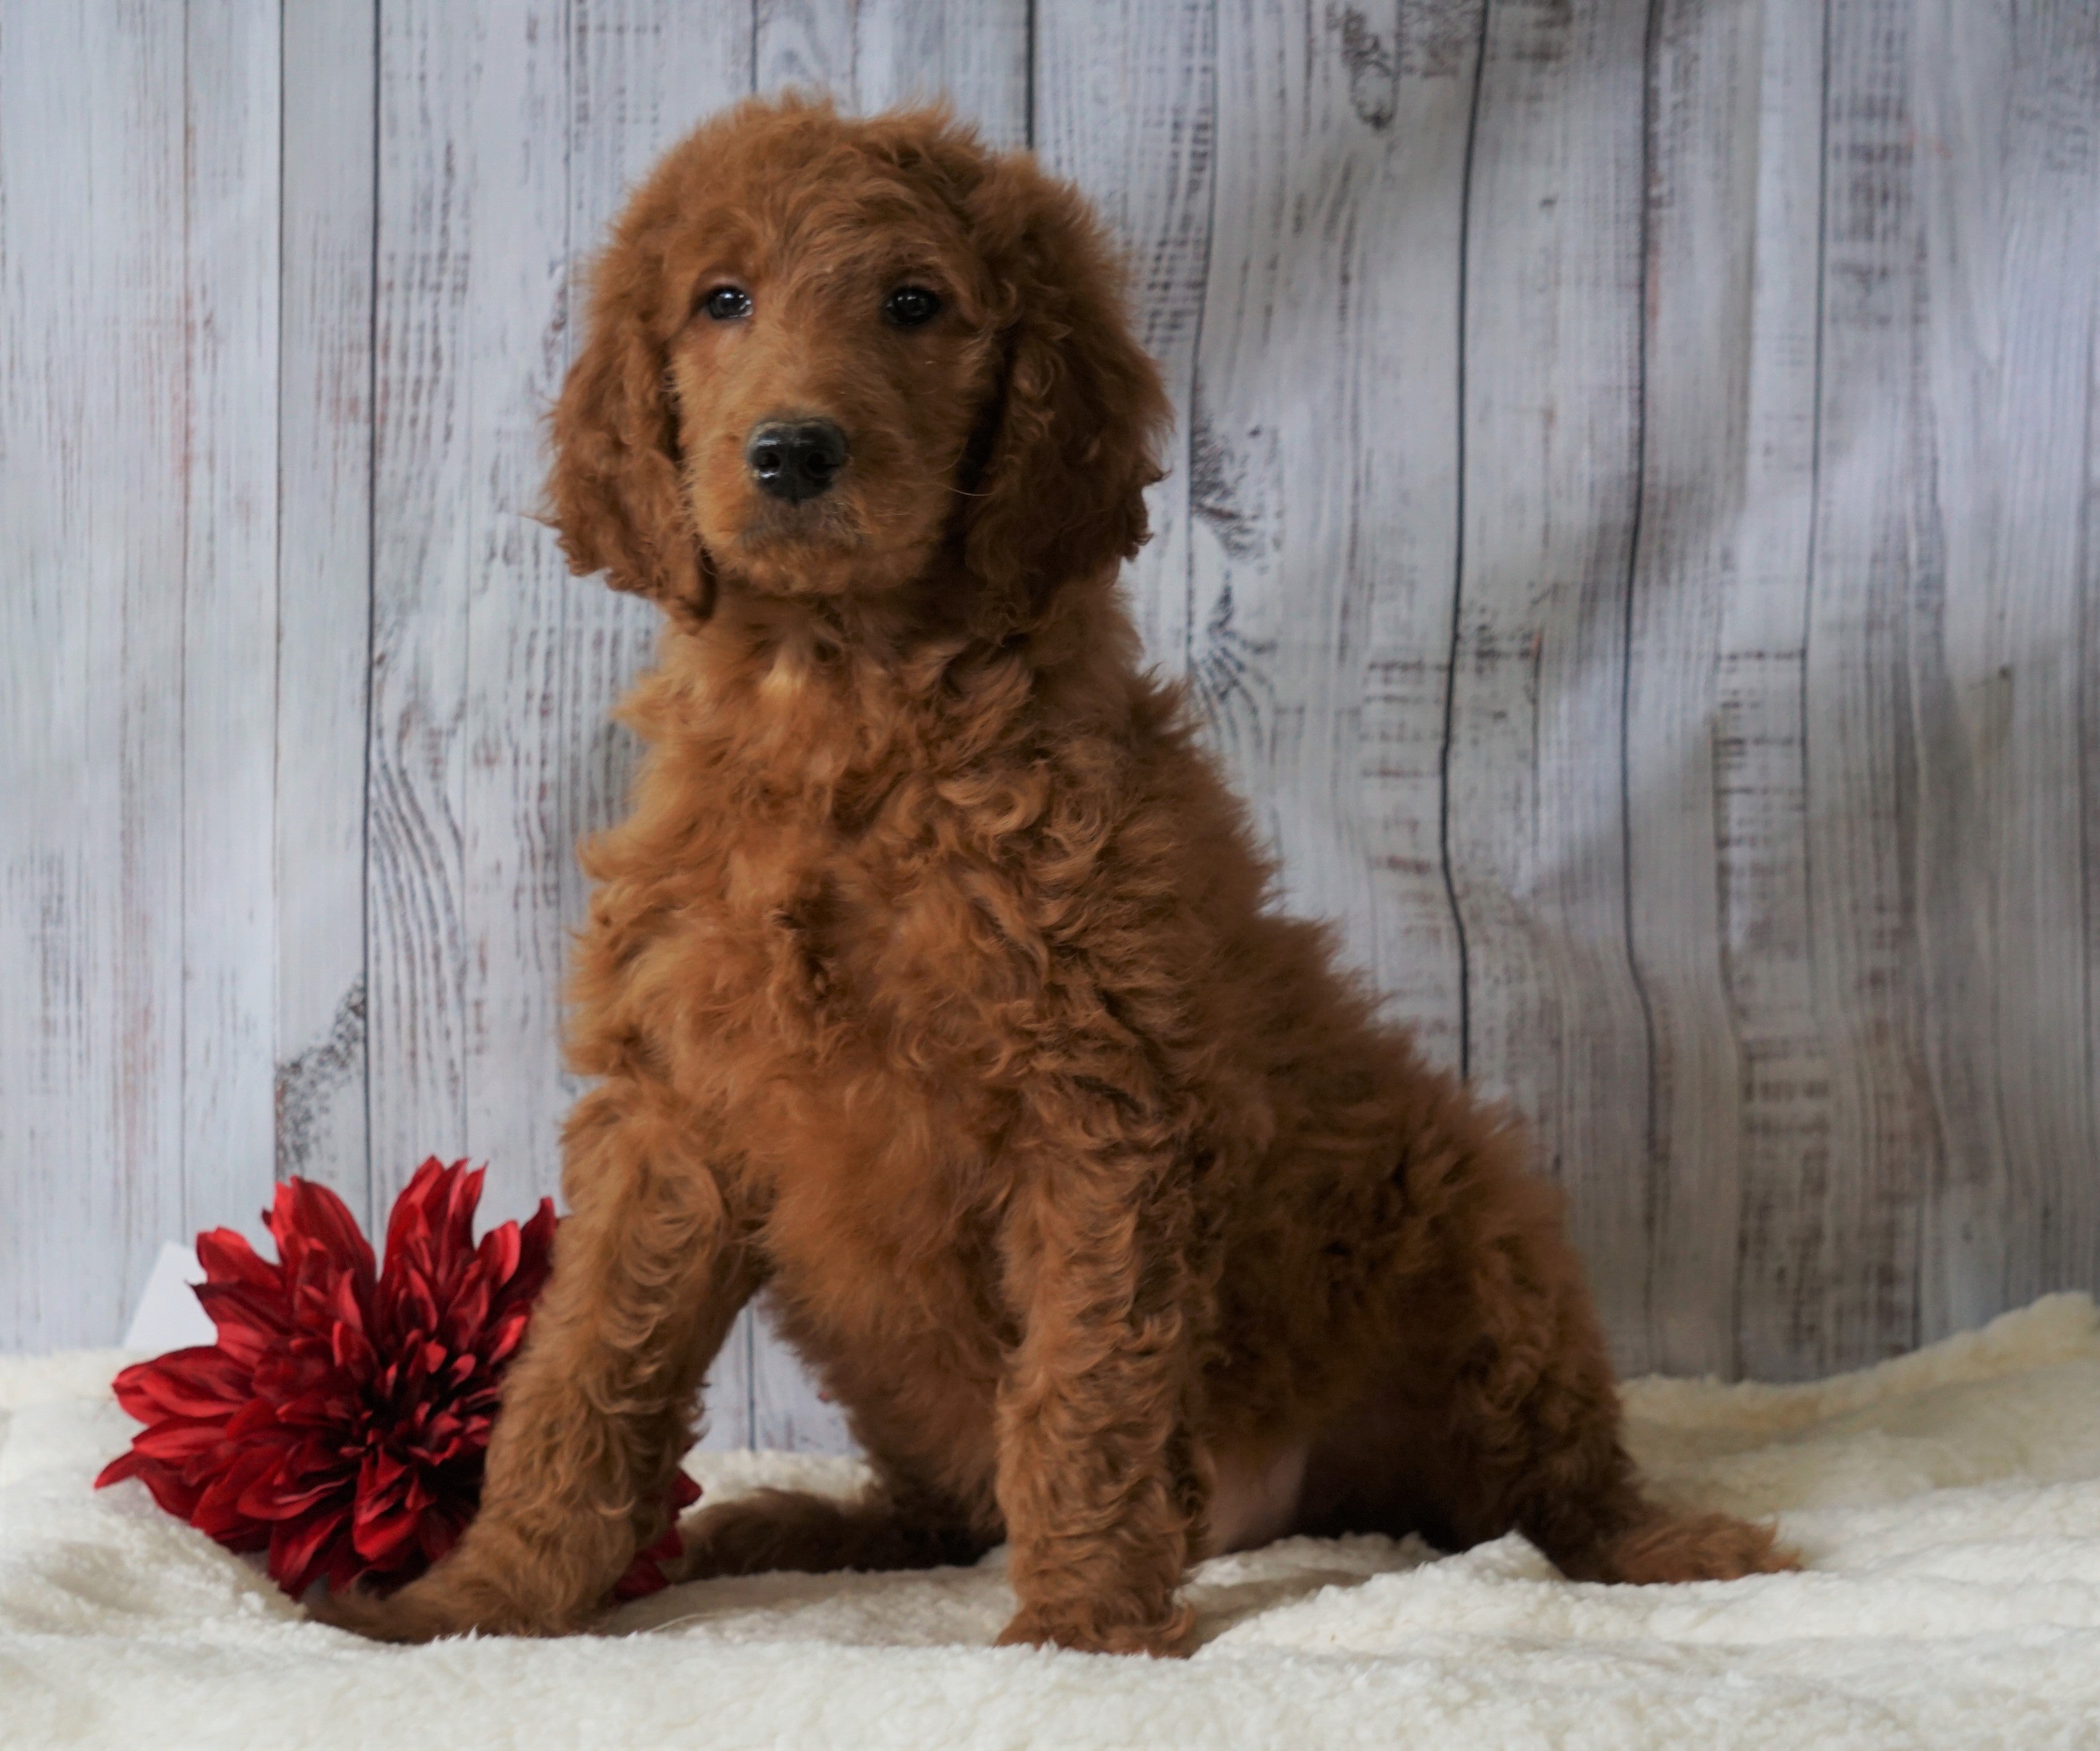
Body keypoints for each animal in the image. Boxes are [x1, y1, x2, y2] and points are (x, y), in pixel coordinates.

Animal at [319, 95, 1798, 1654]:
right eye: (722, 302)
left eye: (914, 304)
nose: (792, 452)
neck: (845, 709)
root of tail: (1293, 1503)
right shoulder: (667, 1107)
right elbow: (588, 1369)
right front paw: (473, 1601)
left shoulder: (1094, 1103)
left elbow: (1083, 1383)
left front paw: (1083, 1625)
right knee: (944, 1507)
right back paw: (792, 1526)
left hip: (1471, 1218)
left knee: (1547, 1483)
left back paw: (1663, 1541)